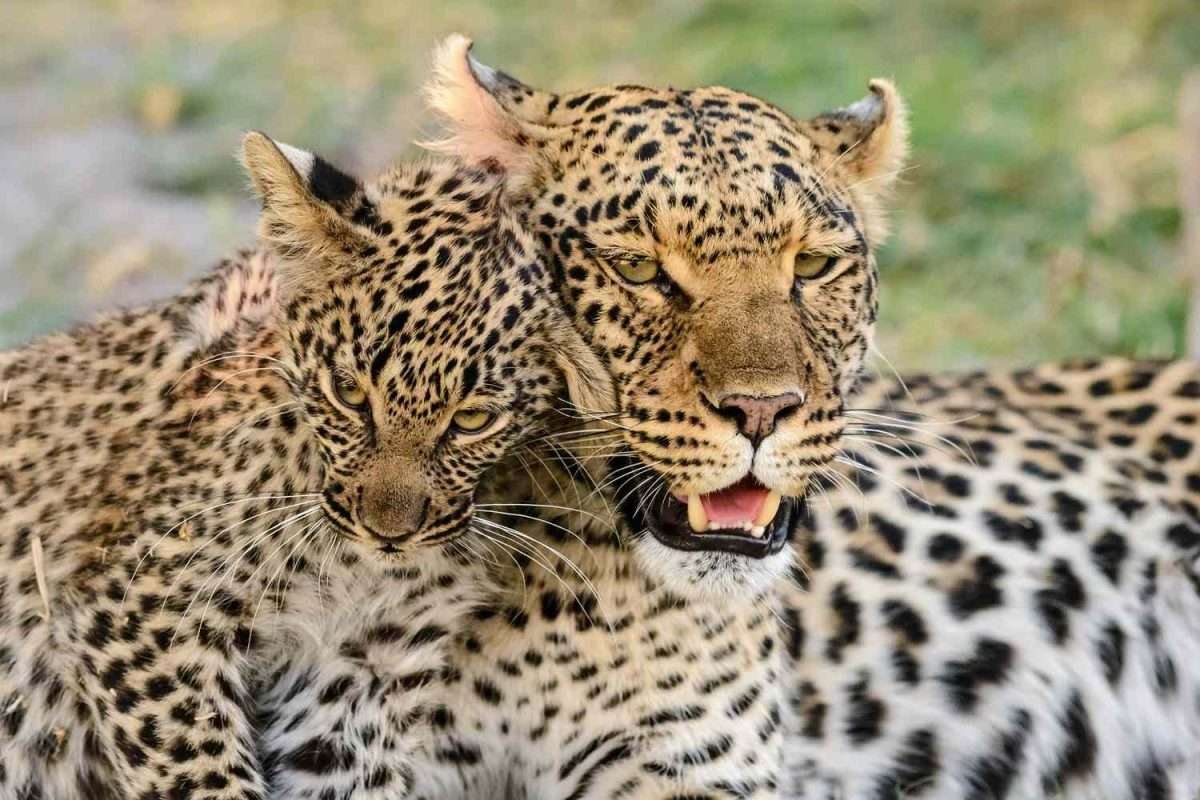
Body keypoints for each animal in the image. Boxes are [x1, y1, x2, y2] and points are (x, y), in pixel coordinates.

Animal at [0, 133, 608, 799]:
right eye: (348, 392)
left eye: (472, 419)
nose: (387, 532)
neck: (351, 572)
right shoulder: (144, 610)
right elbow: (202, 775)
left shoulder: (360, 672)